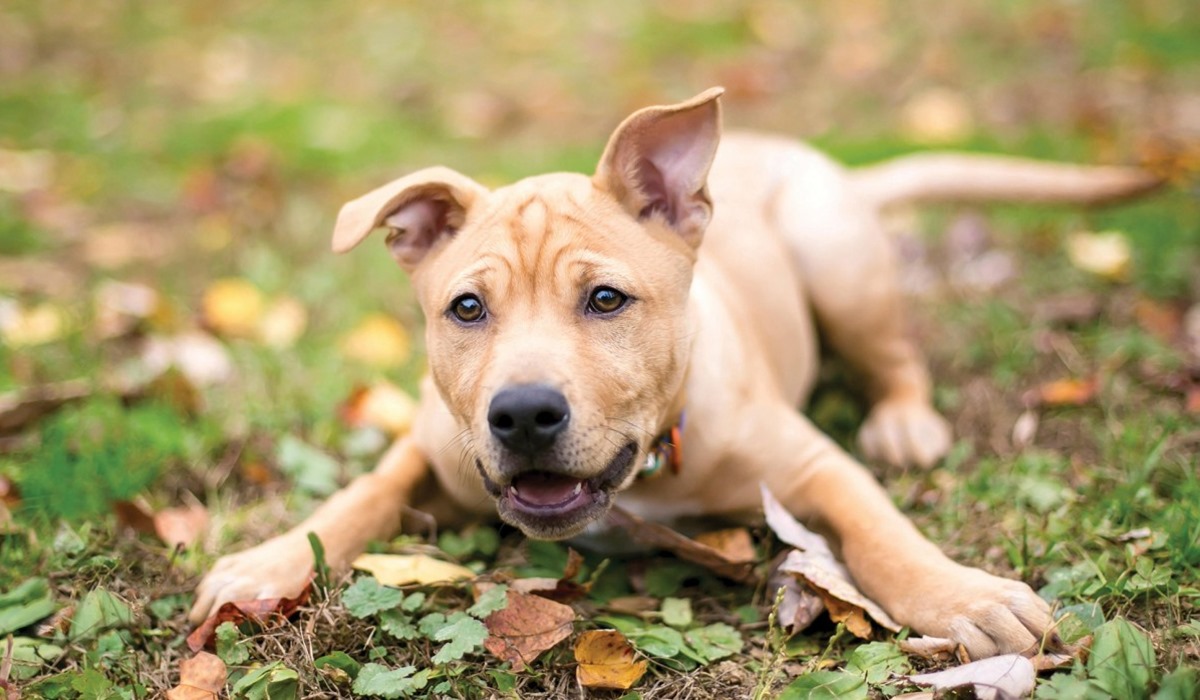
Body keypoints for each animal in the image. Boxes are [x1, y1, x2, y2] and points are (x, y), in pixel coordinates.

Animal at [189, 88, 1161, 662]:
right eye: (465, 309)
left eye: (606, 299)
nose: (523, 415)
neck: (644, 478)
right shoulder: (434, 442)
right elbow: (364, 491)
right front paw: (269, 561)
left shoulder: (813, 465)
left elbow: (881, 532)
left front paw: (959, 595)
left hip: (839, 261)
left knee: (896, 357)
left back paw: (905, 420)